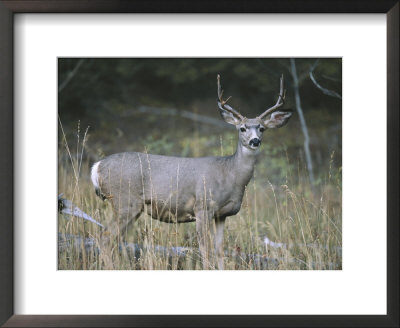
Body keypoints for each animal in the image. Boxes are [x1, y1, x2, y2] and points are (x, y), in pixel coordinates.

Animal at [92, 75, 292, 270]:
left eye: (262, 128)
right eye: (242, 128)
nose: (255, 141)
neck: (230, 174)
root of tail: (97, 166)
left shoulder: (222, 214)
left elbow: (219, 250)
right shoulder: (202, 207)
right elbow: (205, 250)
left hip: (130, 208)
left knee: (113, 240)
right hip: (124, 201)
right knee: (104, 237)